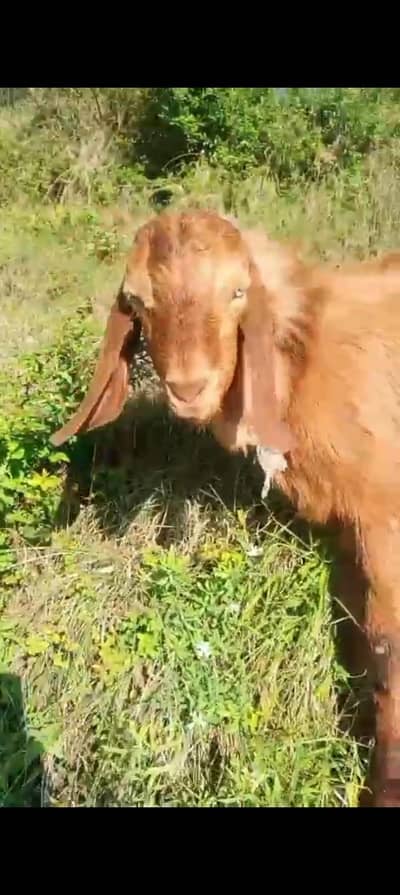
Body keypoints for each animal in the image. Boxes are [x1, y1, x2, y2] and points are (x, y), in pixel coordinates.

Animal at [51, 209, 400, 807]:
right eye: (139, 301)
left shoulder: (387, 524)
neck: (308, 351)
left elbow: (386, 657)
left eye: (238, 291)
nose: (189, 389)